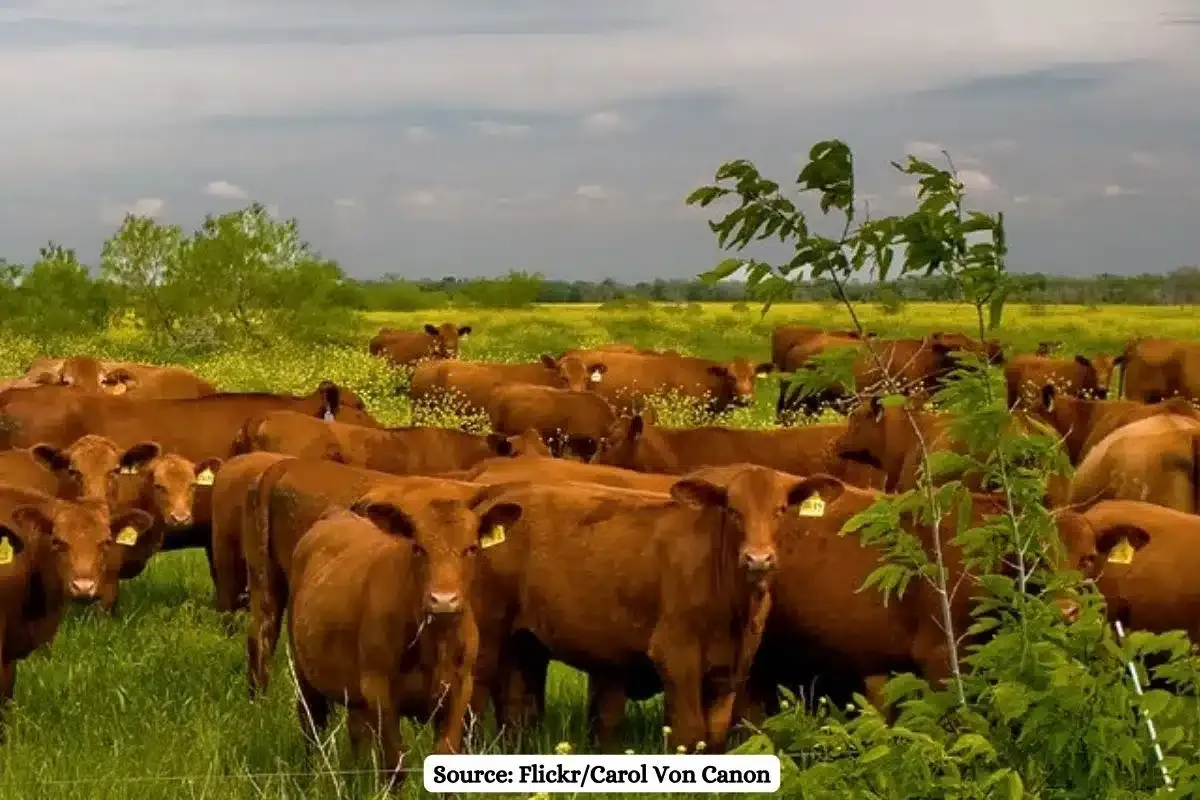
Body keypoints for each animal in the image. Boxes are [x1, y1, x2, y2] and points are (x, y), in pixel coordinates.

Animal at [287, 480, 523, 782]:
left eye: (471, 548)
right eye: (419, 548)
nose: (443, 600)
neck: (434, 645)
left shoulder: (461, 688)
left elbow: (446, 754)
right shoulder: (379, 689)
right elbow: (395, 764)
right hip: (304, 672)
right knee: (311, 724)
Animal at [472, 466, 808, 752]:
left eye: (780, 510)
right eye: (733, 510)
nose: (758, 559)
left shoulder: (732, 668)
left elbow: (713, 736)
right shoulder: (675, 654)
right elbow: (689, 732)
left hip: (523, 644)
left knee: (515, 707)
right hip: (486, 633)